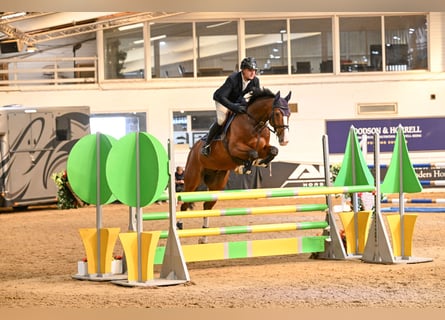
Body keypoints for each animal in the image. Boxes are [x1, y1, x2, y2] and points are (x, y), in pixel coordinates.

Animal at [179, 87, 290, 242]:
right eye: (278, 113)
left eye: (289, 114)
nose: (284, 140)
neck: (255, 123)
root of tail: (193, 149)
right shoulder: (234, 148)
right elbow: (253, 153)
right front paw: (246, 167)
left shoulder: (263, 148)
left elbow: (273, 150)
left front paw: (260, 163)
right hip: (192, 178)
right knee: (183, 203)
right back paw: (179, 226)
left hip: (217, 182)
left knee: (207, 205)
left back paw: (203, 237)